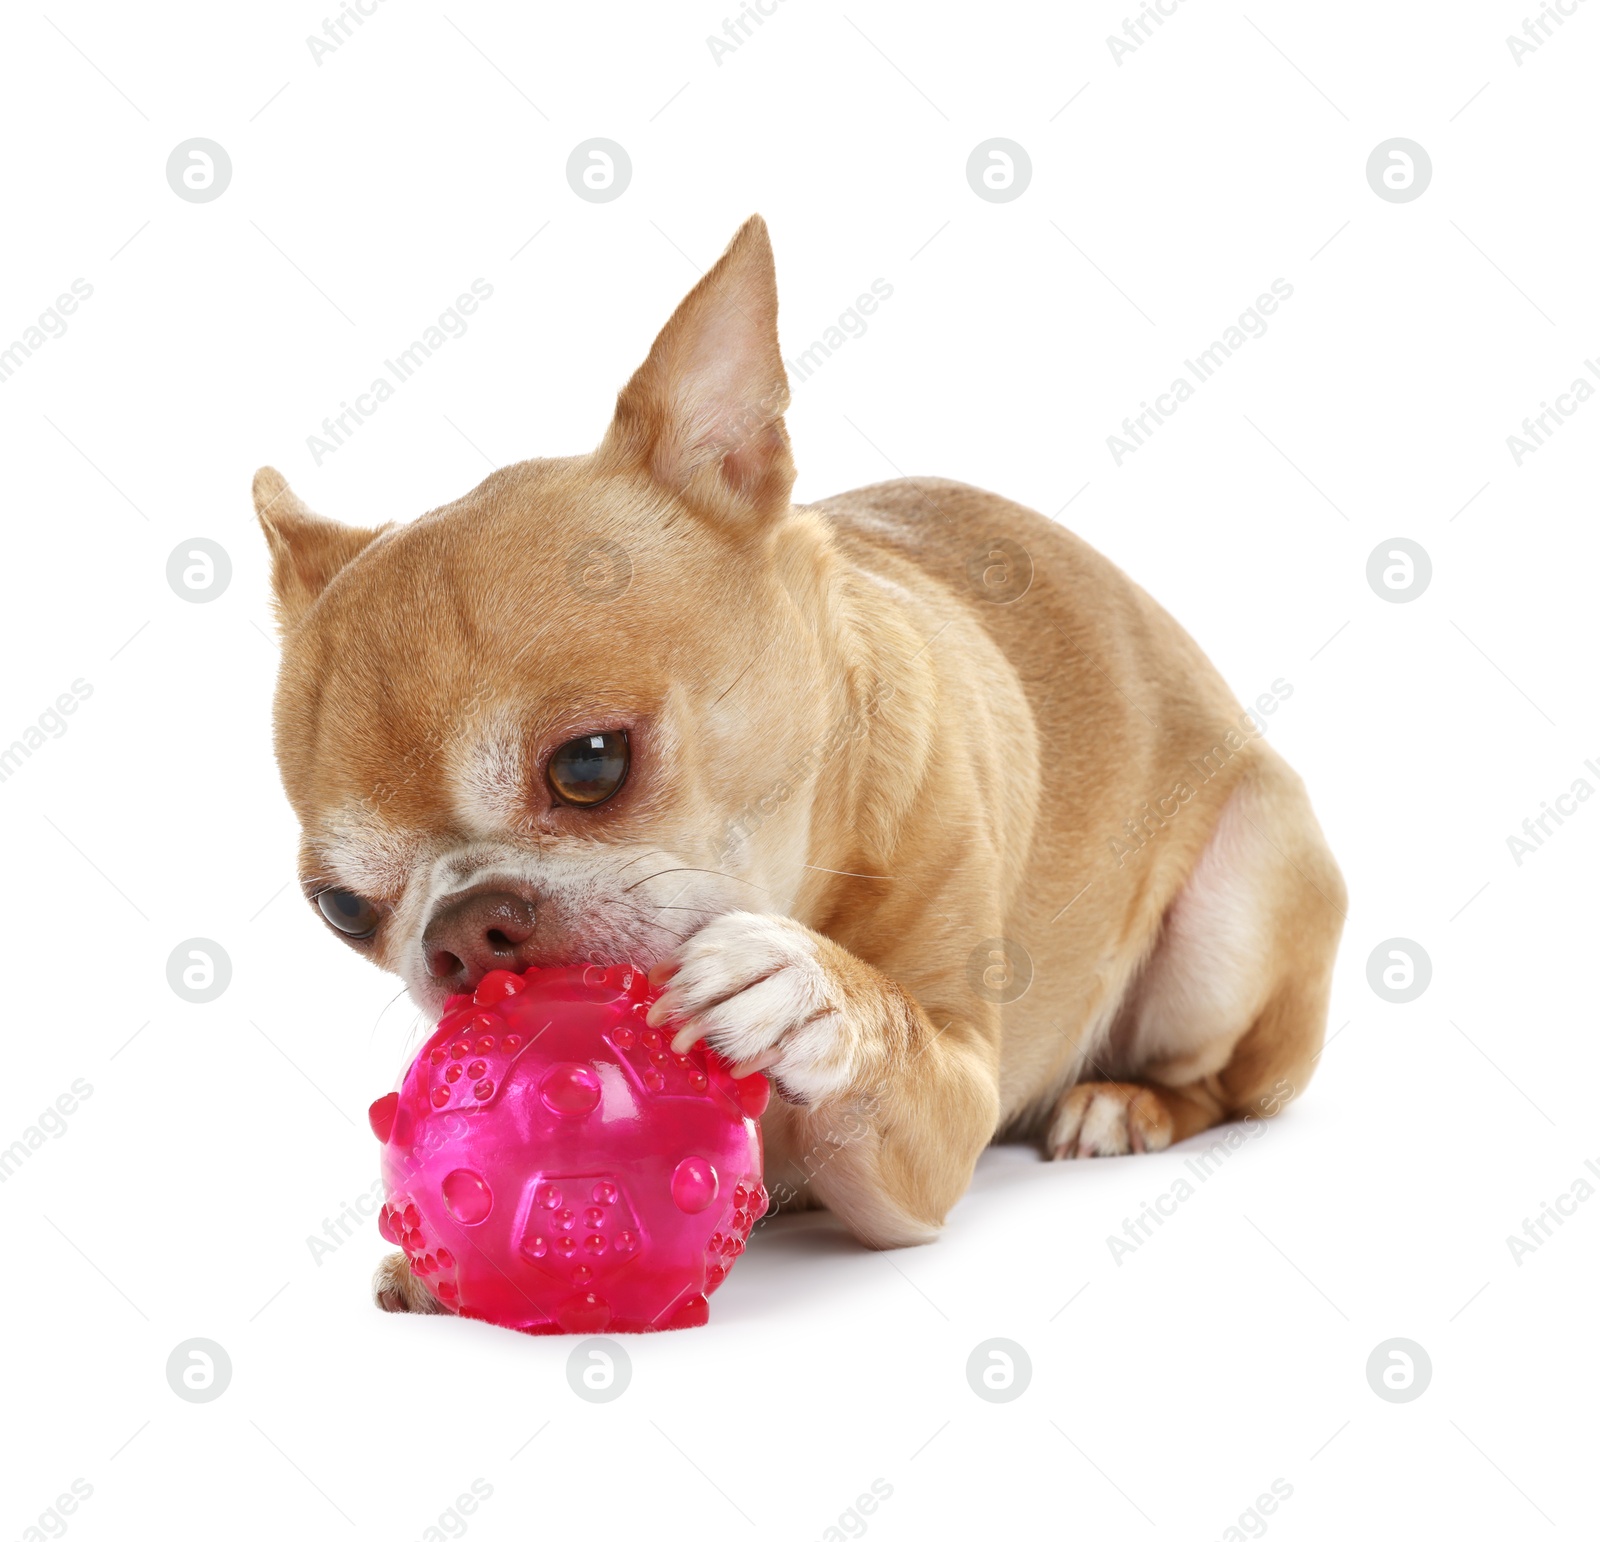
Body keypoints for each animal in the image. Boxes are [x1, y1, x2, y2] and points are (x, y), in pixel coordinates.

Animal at [256, 214, 1344, 1311]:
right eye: (342, 909)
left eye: (591, 764)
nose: (463, 931)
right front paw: (424, 1261)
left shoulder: (952, 1112)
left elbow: (895, 1044)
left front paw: (810, 993)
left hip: (1232, 913)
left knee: (1224, 1082)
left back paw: (1125, 1103)